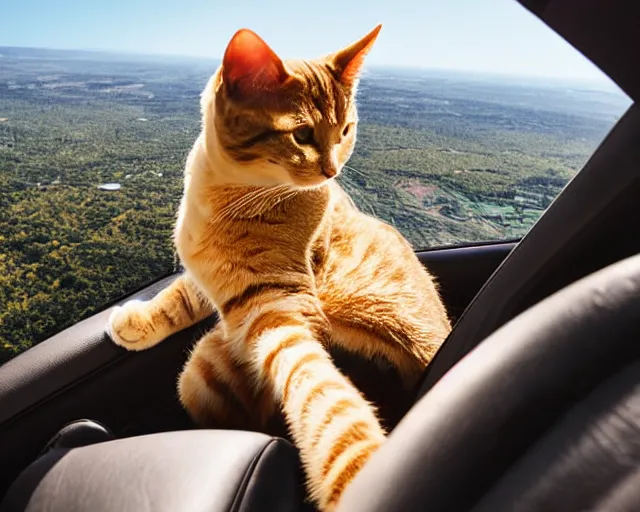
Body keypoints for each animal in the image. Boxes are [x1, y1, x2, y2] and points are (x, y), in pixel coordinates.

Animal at [109, 25, 450, 512]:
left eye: (345, 130)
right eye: (303, 134)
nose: (332, 170)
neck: (224, 189)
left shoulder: (279, 309)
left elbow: (320, 396)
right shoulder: (216, 280)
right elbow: (179, 297)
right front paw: (139, 321)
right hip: (202, 369)